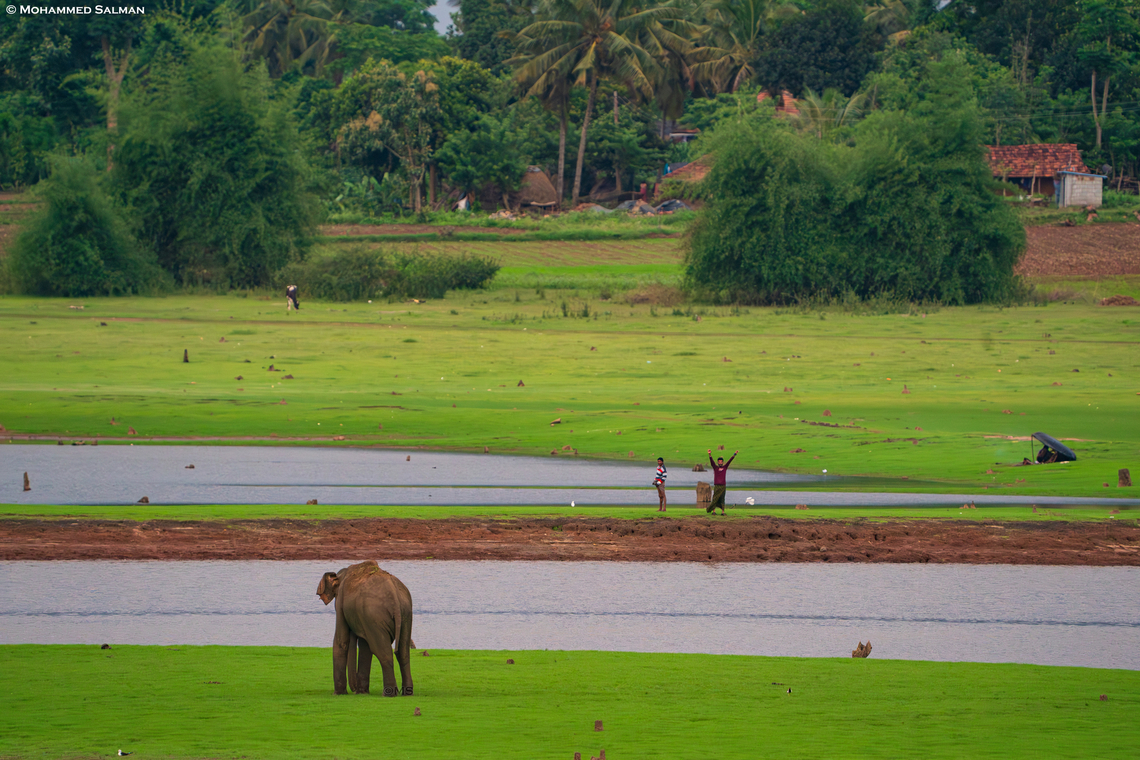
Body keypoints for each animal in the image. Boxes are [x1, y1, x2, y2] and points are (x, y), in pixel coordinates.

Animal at [316, 560, 413, 697]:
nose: (354, 689)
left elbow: (341, 641)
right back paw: (407, 693)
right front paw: (362, 693)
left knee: (383, 651)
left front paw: (338, 694)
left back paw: (389, 694)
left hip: (375, 615)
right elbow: (364, 646)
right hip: (405, 614)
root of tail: (393, 593)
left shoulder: (340, 601)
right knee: (403, 653)